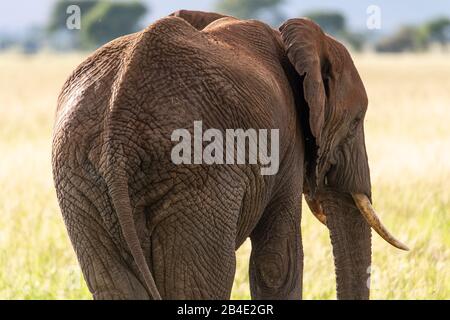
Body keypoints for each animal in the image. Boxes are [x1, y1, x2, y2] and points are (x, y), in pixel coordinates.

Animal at [52, 10, 408, 300]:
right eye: (357, 121)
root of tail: (118, 124)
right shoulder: (286, 142)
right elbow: (277, 263)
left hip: (79, 180)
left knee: (112, 283)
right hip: (199, 177)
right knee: (201, 283)